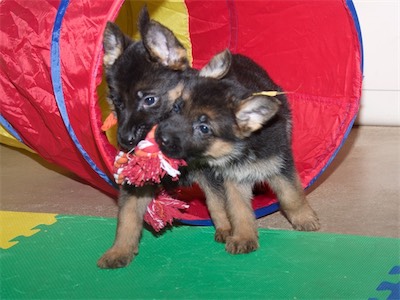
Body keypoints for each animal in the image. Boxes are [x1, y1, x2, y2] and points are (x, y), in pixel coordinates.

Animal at [97, 8, 196, 268]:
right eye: (117, 102)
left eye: (149, 100)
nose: (125, 140)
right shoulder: (136, 180)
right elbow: (128, 216)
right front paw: (120, 250)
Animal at [155, 50, 318, 254]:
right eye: (177, 107)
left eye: (204, 128)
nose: (160, 137)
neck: (245, 149)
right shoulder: (234, 180)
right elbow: (238, 210)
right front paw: (243, 237)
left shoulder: (280, 166)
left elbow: (292, 196)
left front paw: (305, 219)